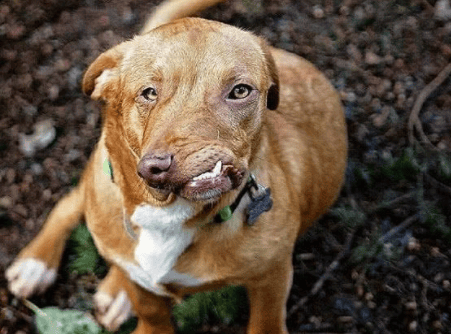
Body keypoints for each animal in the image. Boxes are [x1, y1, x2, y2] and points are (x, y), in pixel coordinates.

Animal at [5, 1, 348, 332]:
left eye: (240, 90)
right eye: (148, 92)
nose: (161, 165)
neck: (167, 217)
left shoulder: (271, 280)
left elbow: (264, 323)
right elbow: (152, 314)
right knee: (70, 205)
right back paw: (37, 264)